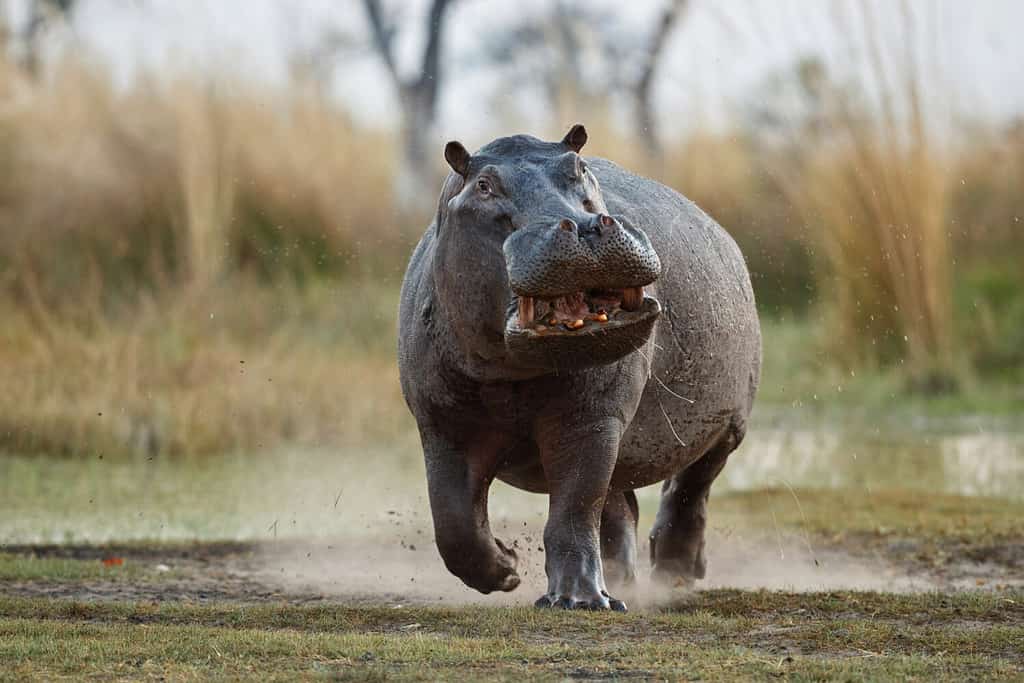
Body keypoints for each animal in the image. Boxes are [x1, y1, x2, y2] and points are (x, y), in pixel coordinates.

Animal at [397, 122, 761, 610]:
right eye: (484, 185)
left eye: (580, 167)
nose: (587, 228)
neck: (511, 373)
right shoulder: (441, 424)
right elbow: (453, 524)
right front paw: (507, 569)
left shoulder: (593, 419)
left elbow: (575, 506)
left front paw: (579, 601)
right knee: (621, 506)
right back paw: (622, 579)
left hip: (728, 420)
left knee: (692, 485)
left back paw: (674, 574)